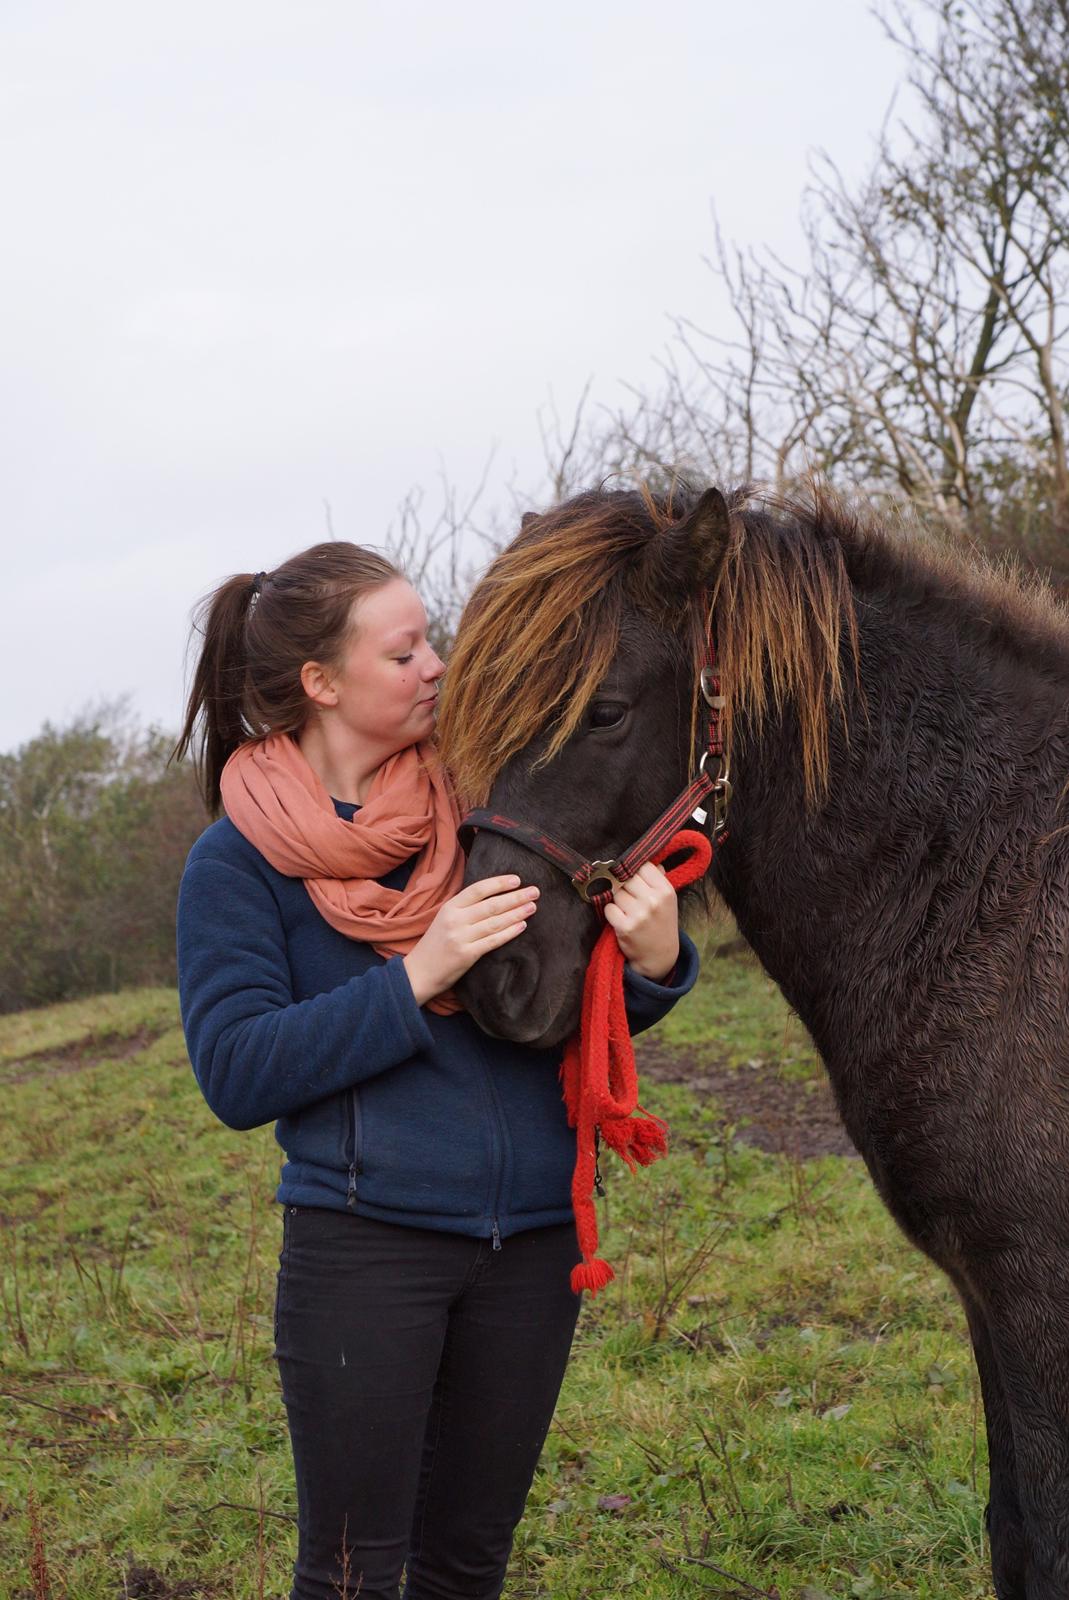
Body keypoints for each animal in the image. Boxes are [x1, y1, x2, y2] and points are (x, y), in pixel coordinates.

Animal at [435, 483, 1069, 1600]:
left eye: (604, 711)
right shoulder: (985, 1296)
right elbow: (1014, 1535)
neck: (998, 882)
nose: (492, 982)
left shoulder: (1034, 1295)